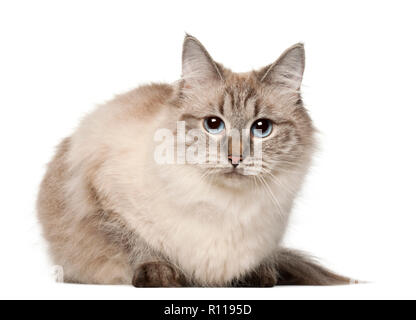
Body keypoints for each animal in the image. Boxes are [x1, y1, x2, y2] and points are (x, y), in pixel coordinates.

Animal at [38, 35, 352, 288]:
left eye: (262, 128)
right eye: (213, 124)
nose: (235, 158)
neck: (226, 208)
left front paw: (256, 276)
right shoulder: (101, 195)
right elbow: (134, 242)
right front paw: (159, 275)